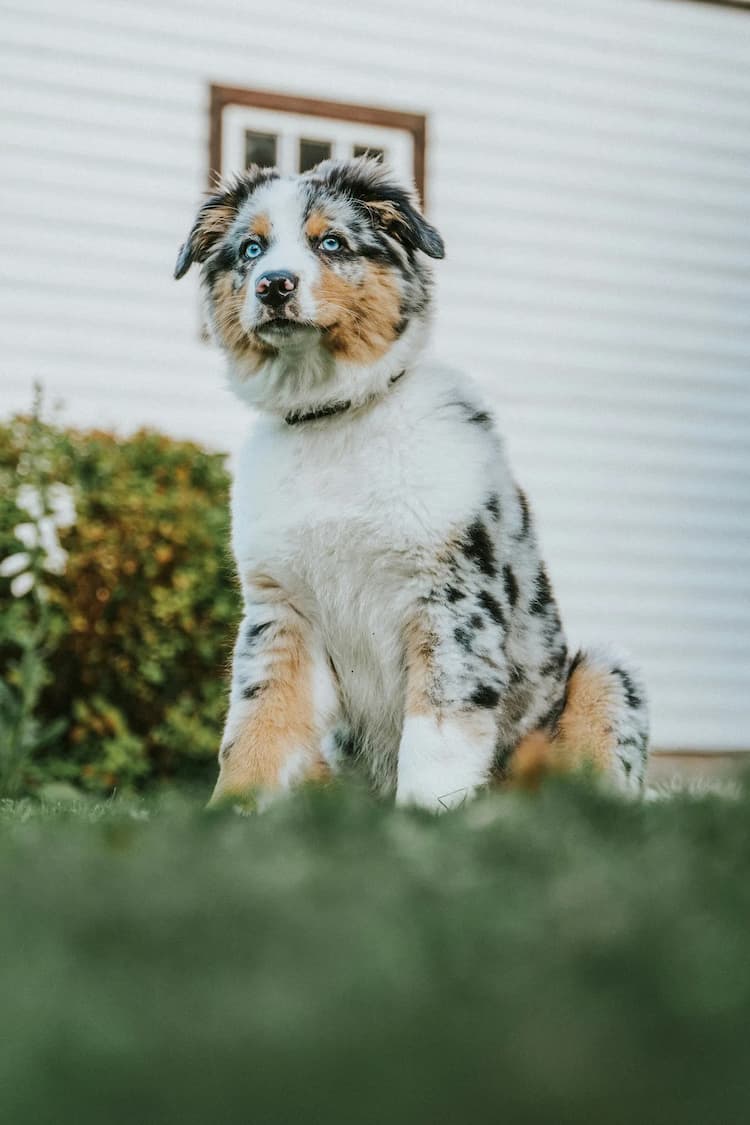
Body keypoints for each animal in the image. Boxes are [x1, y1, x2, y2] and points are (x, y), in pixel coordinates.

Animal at [173, 156, 647, 810]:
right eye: (251, 249)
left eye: (331, 243)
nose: (274, 285)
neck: (333, 417)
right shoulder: (280, 611)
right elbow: (255, 730)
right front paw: (230, 815)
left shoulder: (451, 601)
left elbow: (436, 739)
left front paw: (425, 821)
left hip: (606, 675)